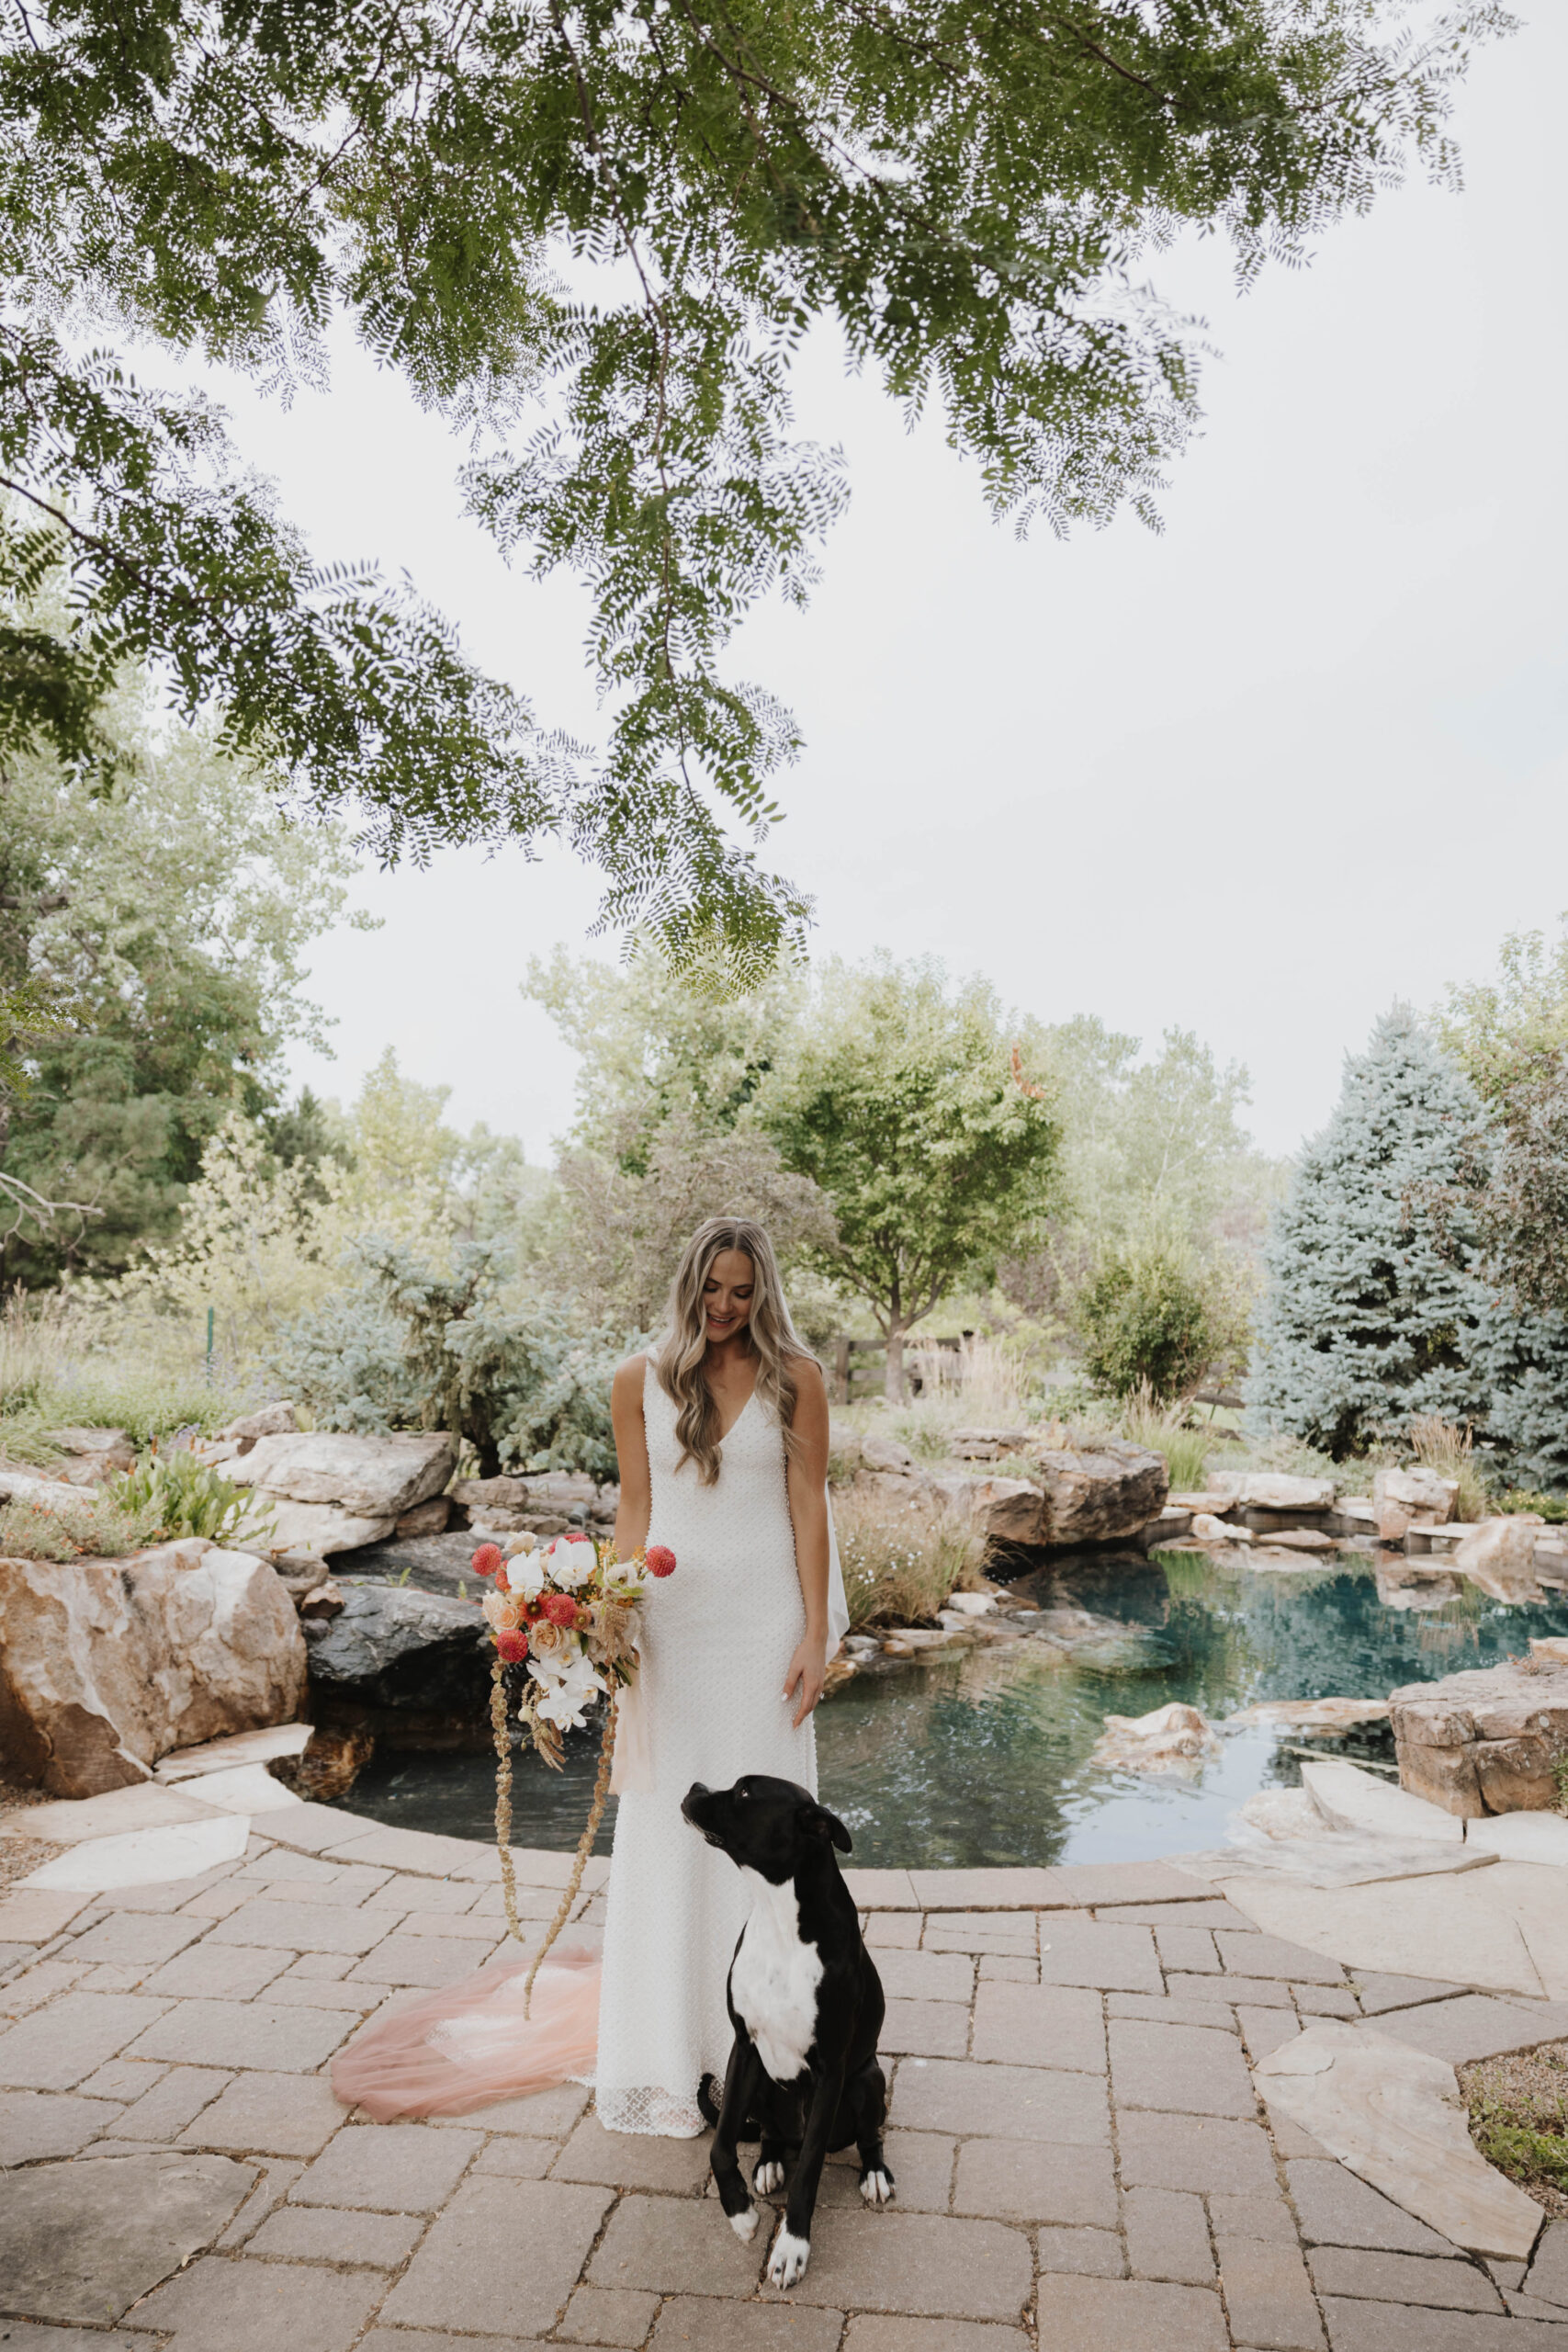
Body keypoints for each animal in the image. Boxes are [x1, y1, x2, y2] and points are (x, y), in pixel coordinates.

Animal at [677, 1769, 893, 2286]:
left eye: (745, 1792)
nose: (694, 1787)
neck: (779, 1917)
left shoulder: (831, 2071)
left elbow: (809, 2171)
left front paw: (792, 2247)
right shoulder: (743, 2048)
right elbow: (720, 2145)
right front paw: (739, 2213)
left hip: (868, 2078)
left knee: (869, 2135)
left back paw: (874, 2172)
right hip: (764, 2087)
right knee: (772, 2136)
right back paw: (770, 2163)